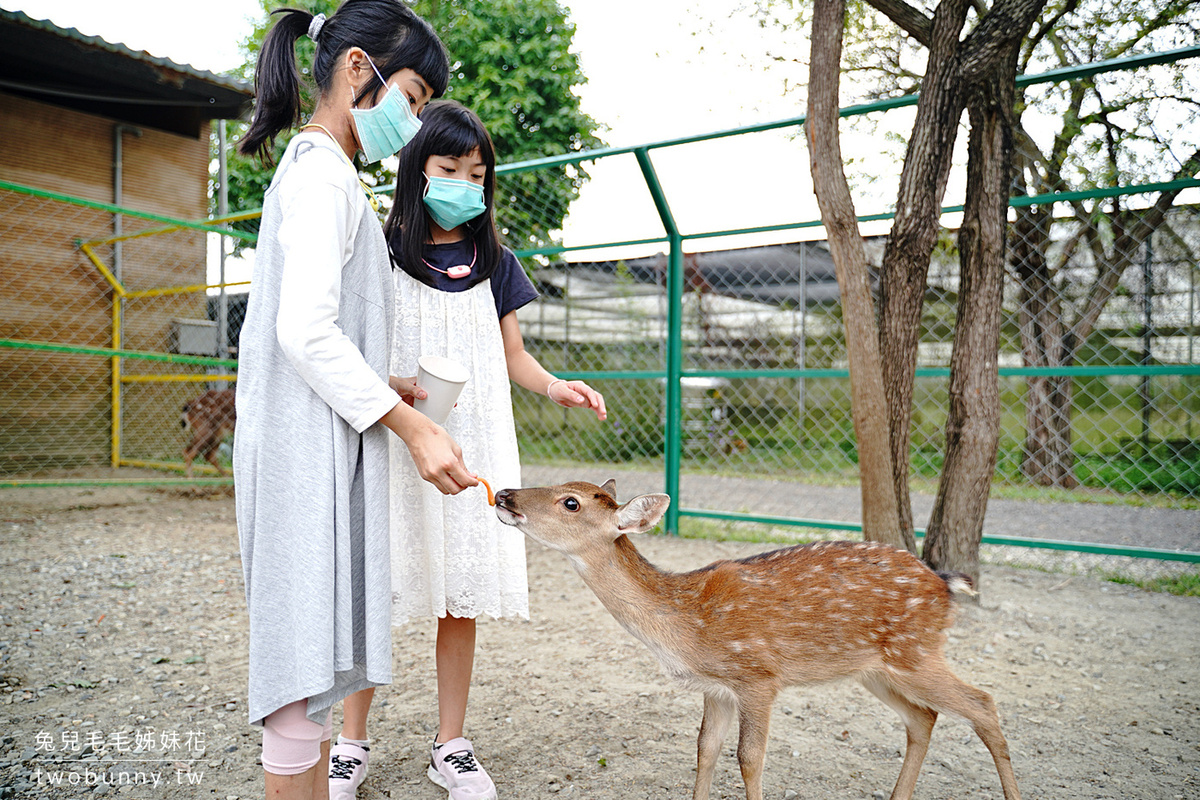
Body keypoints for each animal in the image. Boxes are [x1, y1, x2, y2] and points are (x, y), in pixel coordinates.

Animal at [492, 482, 1017, 800]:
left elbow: (749, 758)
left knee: (984, 703)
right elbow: (705, 749)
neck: (685, 629)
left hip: (916, 651)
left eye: (570, 502)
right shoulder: (717, 688)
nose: (504, 493)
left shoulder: (758, 677)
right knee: (924, 717)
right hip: (874, 669)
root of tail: (946, 585)